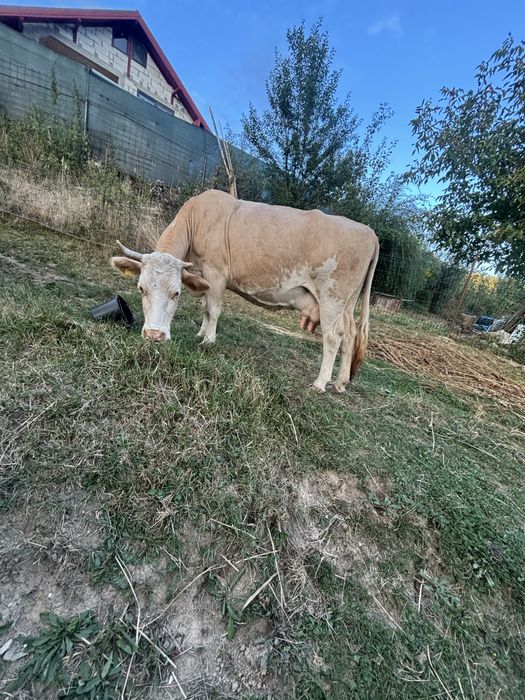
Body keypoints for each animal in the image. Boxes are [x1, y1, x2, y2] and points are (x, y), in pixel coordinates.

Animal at [111, 189, 379, 393]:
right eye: (141, 288)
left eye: (176, 293)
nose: (154, 335)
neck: (198, 219)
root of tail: (369, 231)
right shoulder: (203, 276)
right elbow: (204, 307)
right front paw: (201, 332)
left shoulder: (216, 273)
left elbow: (213, 309)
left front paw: (208, 341)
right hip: (347, 303)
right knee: (350, 335)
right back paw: (340, 382)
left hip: (332, 297)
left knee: (333, 336)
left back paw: (321, 382)